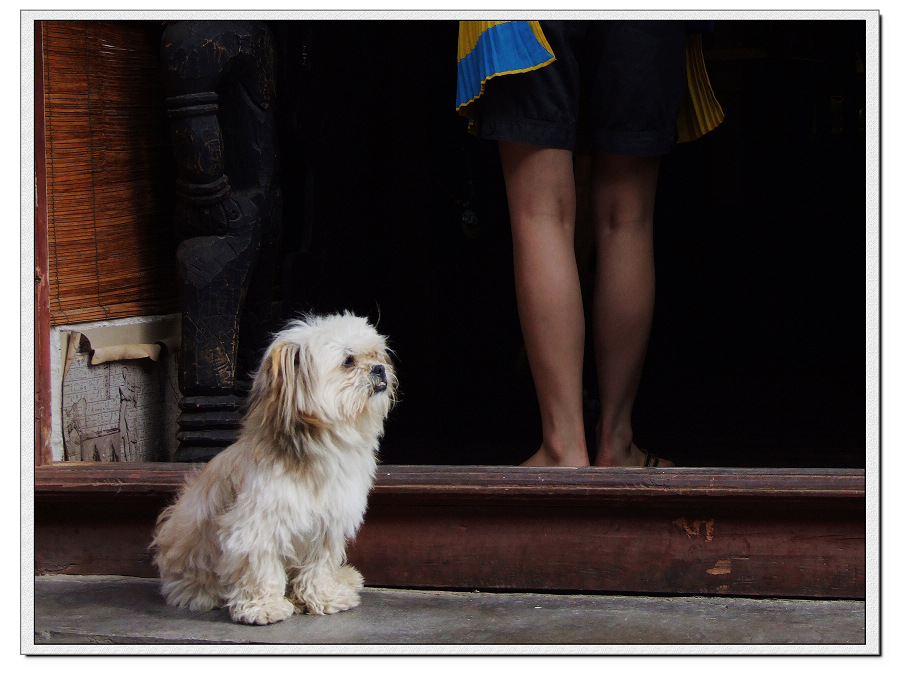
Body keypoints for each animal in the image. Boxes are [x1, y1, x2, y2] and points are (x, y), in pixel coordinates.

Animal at [152, 314, 398, 624]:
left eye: (376, 354)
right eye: (348, 361)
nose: (380, 368)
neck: (320, 449)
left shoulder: (327, 524)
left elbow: (319, 565)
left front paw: (323, 597)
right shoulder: (257, 525)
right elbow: (261, 566)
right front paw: (263, 607)